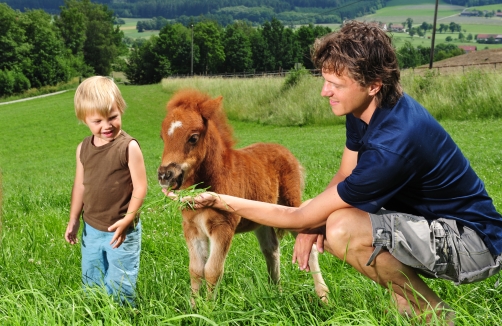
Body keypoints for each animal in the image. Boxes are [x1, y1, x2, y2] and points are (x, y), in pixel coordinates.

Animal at [158, 88, 330, 304]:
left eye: (193, 137)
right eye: (162, 137)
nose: (165, 175)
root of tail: (285, 151)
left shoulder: (223, 227)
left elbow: (212, 271)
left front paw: (209, 308)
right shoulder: (192, 228)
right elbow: (196, 270)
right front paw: (193, 308)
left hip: (290, 204)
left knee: (308, 245)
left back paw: (323, 296)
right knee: (271, 248)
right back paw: (276, 293)